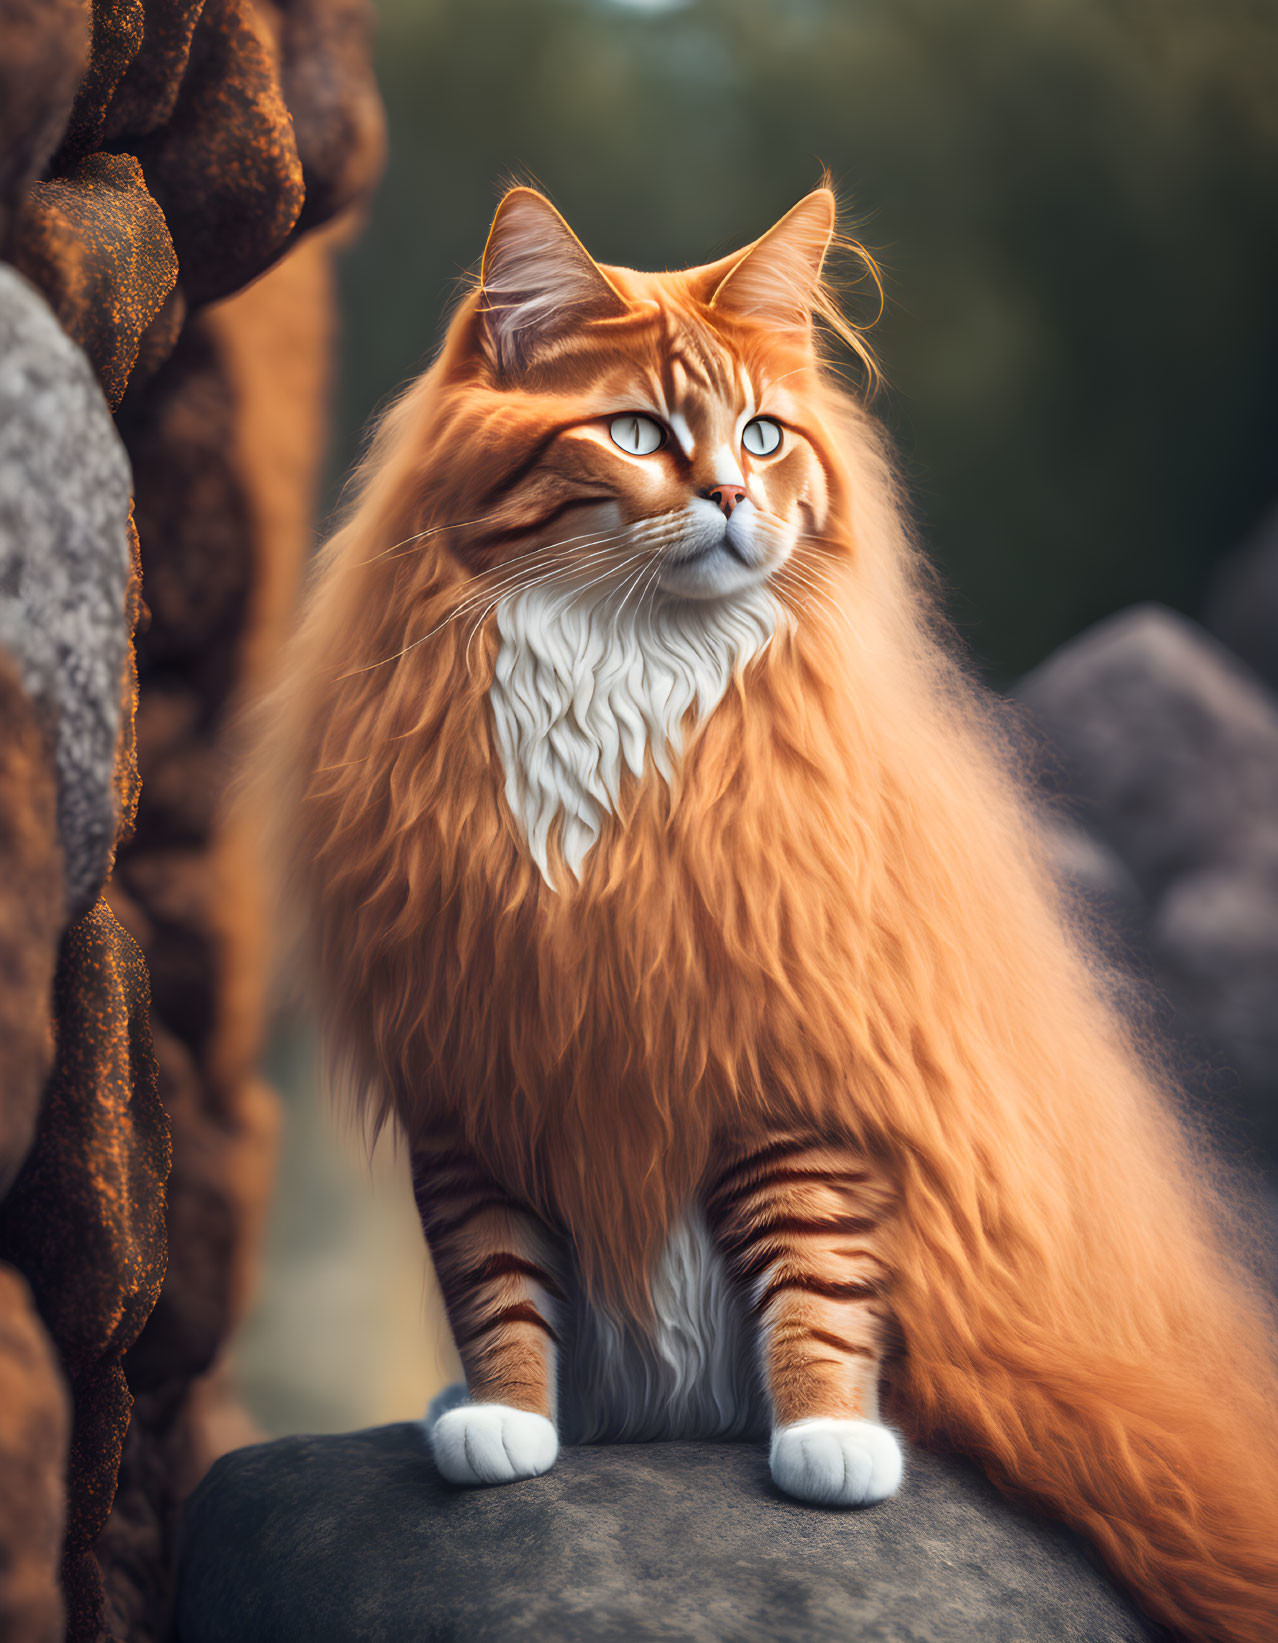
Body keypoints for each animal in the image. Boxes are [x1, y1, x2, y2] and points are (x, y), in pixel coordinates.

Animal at [261, 186, 1274, 1636]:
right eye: (638, 432)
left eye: (761, 435)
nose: (734, 497)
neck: (616, 674)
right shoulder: (472, 1064)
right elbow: (492, 1277)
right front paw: (506, 1419)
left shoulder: (797, 1058)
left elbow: (815, 1276)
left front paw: (829, 1443)